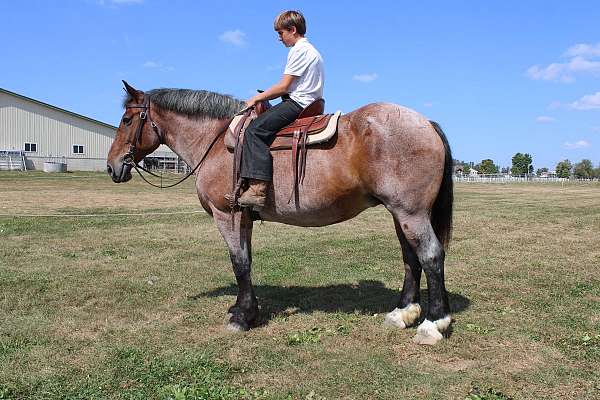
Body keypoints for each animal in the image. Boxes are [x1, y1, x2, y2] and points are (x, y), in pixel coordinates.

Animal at [108, 81, 454, 344]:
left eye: (126, 120)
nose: (113, 167)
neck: (217, 142)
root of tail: (426, 123)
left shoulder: (227, 215)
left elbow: (239, 263)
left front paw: (241, 317)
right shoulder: (244, 217)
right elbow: (246, 263)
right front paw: (246, 309)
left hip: (411, 213)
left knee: (431, 255)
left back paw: (433, 324)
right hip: (399, 214)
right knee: (411, 258)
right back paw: (402, 313)